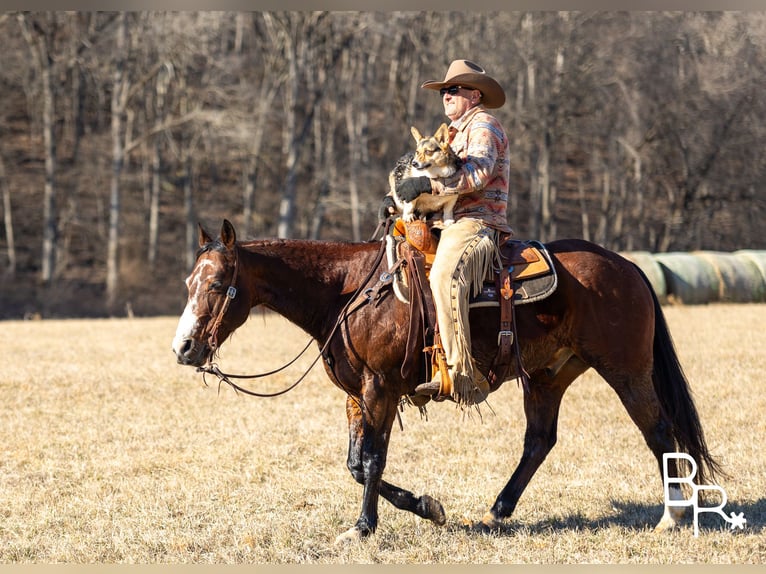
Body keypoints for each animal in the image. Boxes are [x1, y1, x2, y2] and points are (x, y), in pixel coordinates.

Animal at [174, 219, 728, 544]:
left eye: (218, 284)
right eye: (188, 283)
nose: (184, 348)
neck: (347, 292)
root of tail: (629, 266)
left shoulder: (380, 389)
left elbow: (372, 461)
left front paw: (364, 527)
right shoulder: (356, 394)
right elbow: (355, 464)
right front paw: (428, 507)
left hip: (626, 370)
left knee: (658, 432)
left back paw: (672, 515)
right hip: (548, 375)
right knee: (539, 440)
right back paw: (498, 511)